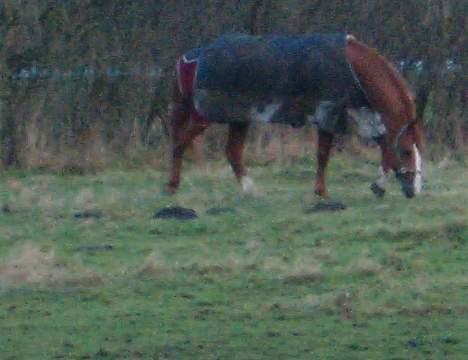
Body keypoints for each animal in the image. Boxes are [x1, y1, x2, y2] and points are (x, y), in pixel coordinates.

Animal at [165, 33, 424, 200]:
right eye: (407, 151)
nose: (414, 191)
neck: (354, 68)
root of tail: (188, 58)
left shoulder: (362, 113)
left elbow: (384, 146)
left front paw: (378, 186)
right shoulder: (329, 114)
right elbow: (323, 155)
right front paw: (322, 193)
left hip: (239, 118)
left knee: (232, 152)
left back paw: (250, 190)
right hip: (204, 116)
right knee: (179, 144)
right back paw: (172, 187)